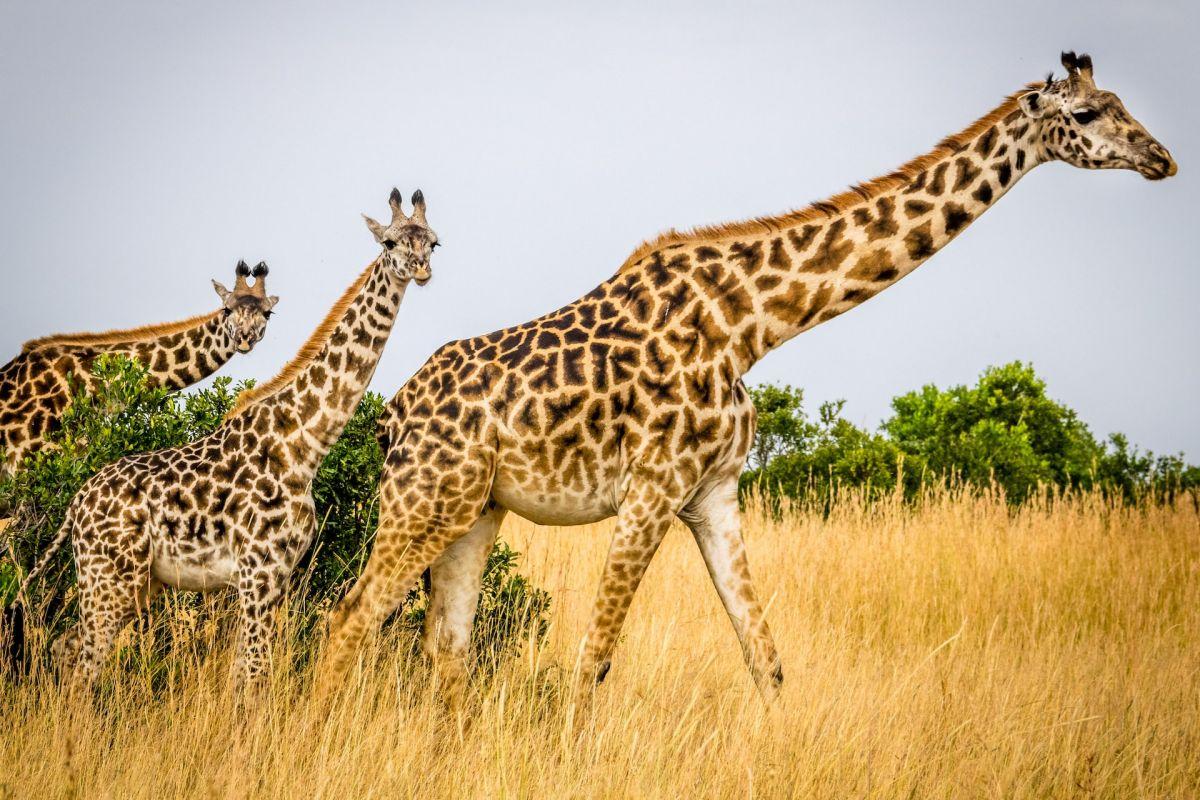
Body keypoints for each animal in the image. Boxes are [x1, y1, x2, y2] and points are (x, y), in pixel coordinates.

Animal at [314, 53, 1176, 705]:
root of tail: (391, 415)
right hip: (422, 502)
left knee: (447, 644)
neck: (752, 326)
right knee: (347, 619)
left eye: (1122, 103)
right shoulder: (653, 489)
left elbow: (766, 659)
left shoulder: (715, 494)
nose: (1161, 158)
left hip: (475, 510)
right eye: (1089, 114)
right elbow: (594, 659)